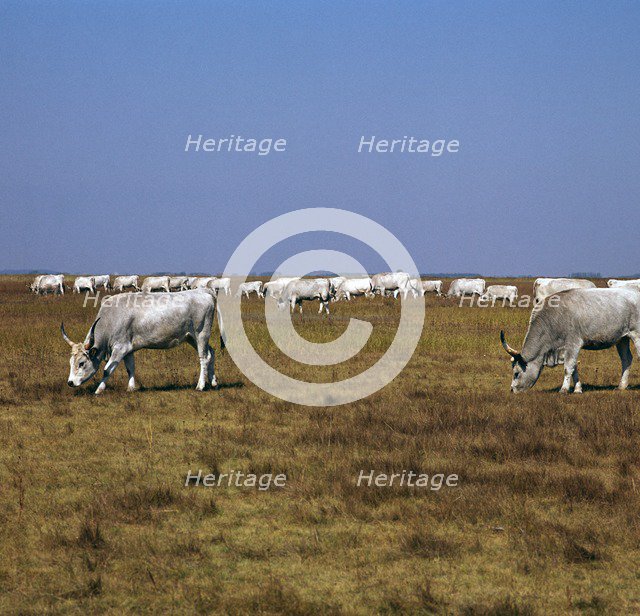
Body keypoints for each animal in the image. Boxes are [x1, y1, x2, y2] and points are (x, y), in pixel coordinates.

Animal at [61, 288, 224, 394]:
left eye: (81, 363)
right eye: (70, 362)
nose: (70, 382)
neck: (111, 318)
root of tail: (203, 291)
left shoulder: (120, 348)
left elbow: (107, 369)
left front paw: (98, 390)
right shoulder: (128, 349)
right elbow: (130, 368)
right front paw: (131, 388)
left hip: (201, 334)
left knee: (204, 358)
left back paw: (200, 385)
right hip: (191, 337)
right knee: (211, 353)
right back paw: (213, 382)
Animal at [500, 287, 640, 394]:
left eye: (516, 373)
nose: (512, 390)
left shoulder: (573, 344)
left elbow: (568, 367)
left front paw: (564, 389)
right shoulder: (567, 349)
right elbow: (574, 368)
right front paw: (577, 389)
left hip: (636, 335)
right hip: (622, 339)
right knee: (626, 359)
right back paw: (621, 386)